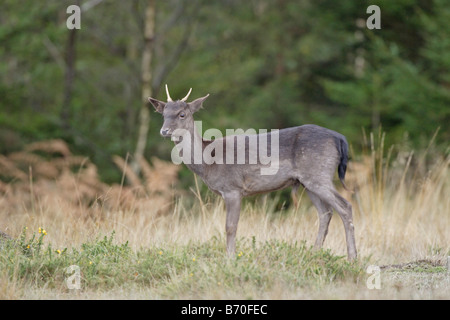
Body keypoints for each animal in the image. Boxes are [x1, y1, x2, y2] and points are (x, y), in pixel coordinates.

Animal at [149, 85, 356, 260]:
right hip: (308, 182)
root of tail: (339, 138)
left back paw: (352, 258)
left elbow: (230, 227)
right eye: (163, 114)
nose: (164, 131)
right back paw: (314, 253)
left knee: (345, 206)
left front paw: (230, 259)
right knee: (326, 213)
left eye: (182, 114)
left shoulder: (232, 188)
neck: (208, 163)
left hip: (318, 174)